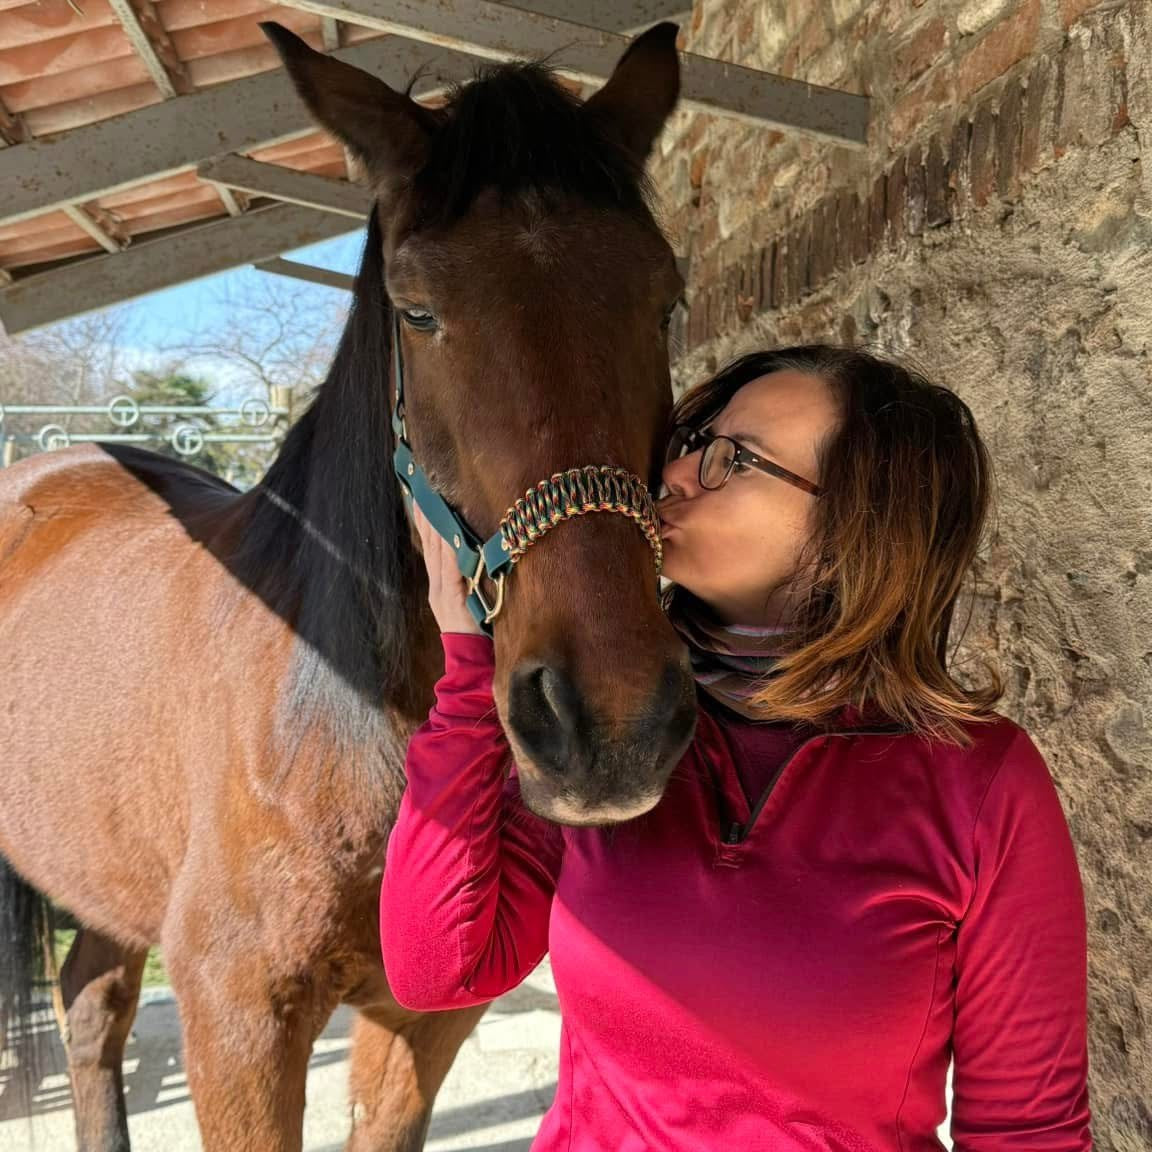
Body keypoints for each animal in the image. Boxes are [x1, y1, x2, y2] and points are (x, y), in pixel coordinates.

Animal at [0, 21, 695, 1152]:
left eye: (665, 297)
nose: (611, 723)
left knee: (92, 1007)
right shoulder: (238, 1020)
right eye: (417, 311)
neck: (333, 714)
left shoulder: (425, 1017)